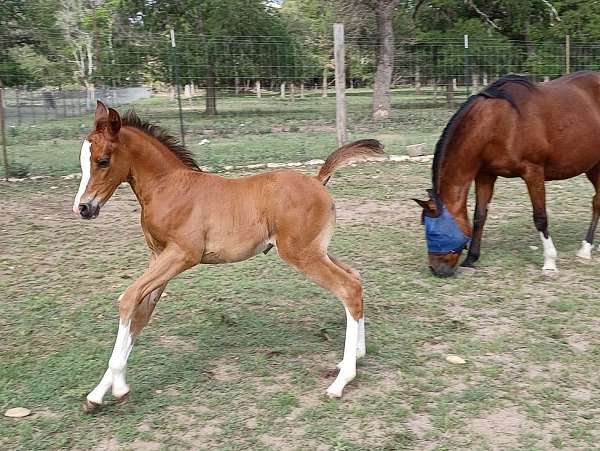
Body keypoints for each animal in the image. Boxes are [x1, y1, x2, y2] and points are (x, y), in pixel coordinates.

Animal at [74, 100, 384, 412]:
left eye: (103, 160)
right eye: (83, 162)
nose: (83, 208)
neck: (169, 188)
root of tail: (317, 180)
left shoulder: (181, 255)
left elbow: (128, 299)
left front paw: (119, 388)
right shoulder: (158, 256)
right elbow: (140, 312)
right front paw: (98, 394)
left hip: (302, 254)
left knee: (347, 288)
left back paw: (341, 382)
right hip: (317, 249)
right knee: (355, 278)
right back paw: (356, 355)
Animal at [414, 71, 600, 276]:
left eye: (434, 232)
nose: (436, 269)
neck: (501, 122)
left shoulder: (533, 173)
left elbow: (540, 218)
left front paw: (550, 262)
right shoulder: (485, 175)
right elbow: (479, 216)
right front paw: (471, 259)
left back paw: (585, 250)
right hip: (593, 166)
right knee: (597, 201)